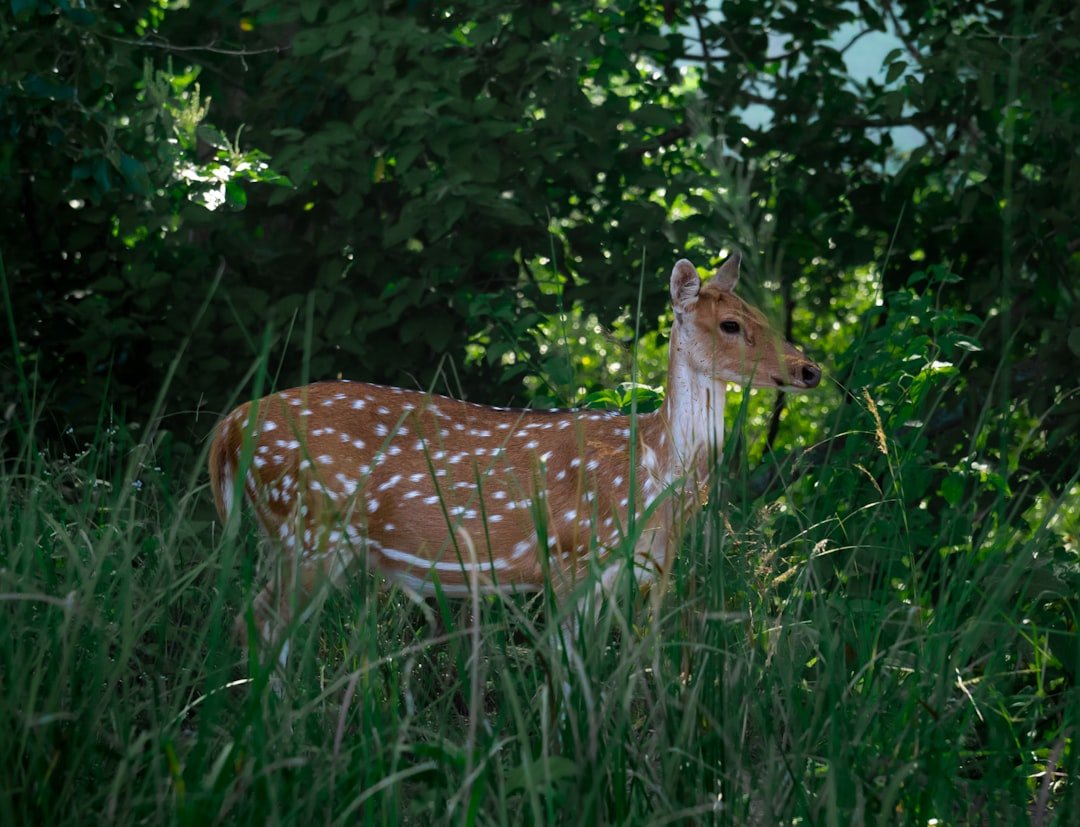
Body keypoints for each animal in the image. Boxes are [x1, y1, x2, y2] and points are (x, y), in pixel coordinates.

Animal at [208, 256, 821, 666]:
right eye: (731, 325)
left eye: (764, 315)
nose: (809, 369)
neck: (655, 466)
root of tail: (226, 430)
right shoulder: (572, 556)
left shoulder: (638, 572)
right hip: (308, 529)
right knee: (257, 627)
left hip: (292, 538)